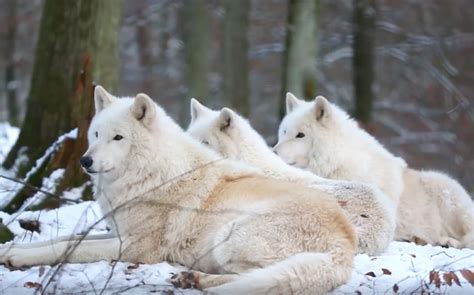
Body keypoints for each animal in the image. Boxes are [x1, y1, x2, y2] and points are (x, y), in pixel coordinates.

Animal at [0, 86, 356, 294]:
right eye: (97, 134)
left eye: (118, 138)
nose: (85, 161)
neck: (152, 174)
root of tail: (345, 246)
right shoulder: (117, 232)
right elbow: (64, 238)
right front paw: (10, 249)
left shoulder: (134, 248)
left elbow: (67, 249)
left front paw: (18, 257)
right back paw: (193, 279)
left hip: (230, 234)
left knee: (259, 279)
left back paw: (198, 281)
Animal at [274, 93, 474, 250]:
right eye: (283, 132)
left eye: (300, 135)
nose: (273, 151)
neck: (337, 164)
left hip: (447, 195)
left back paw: (445, 241)